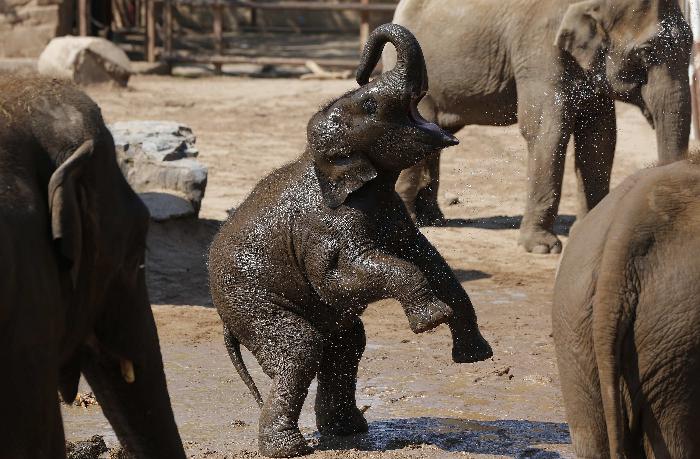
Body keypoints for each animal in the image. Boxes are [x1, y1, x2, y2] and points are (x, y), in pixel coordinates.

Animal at [208, 23, 492, 458]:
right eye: (371, 103)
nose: (360, 71)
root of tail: (224, 320)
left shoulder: (391, 210)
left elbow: (429, 258)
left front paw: (474, 355)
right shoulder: (326, 225)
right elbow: (338, 278)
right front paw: (431, 321)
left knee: (346, 342)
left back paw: (347, 431)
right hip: (249, 301)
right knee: (300, 347)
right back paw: (291, 449)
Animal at [386, 0, 692, 253]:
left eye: (692, 47)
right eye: (647, 52)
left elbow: (600, 138)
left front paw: (587, 232)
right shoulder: (540, 49)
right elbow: (548, 129)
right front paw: (542, 248)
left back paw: (433, 219)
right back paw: (412, 221)